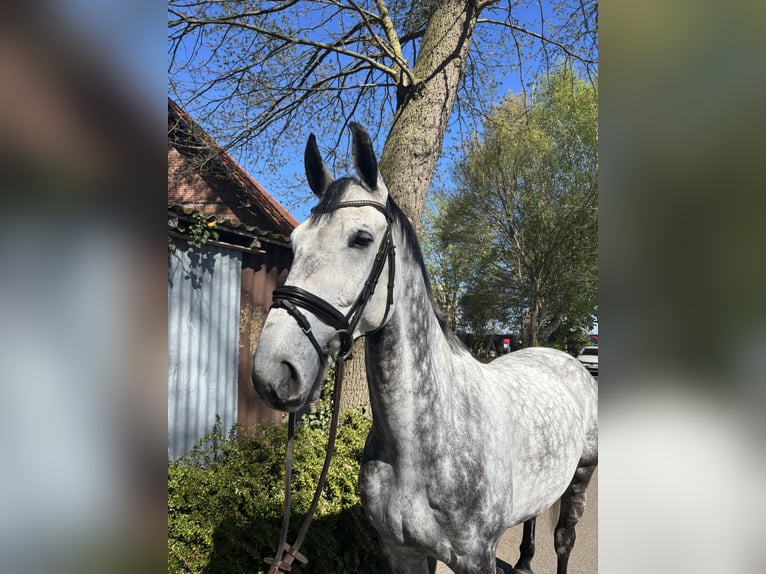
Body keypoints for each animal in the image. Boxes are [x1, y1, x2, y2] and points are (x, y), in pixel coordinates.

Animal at [251, 123, 598, 574]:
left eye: (361, 238)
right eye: (294, 243)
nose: (273, 369)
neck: (418, 451)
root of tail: (564, 360)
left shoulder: (476, 560)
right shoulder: (403, 553)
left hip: (581, 477)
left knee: (563, 540)